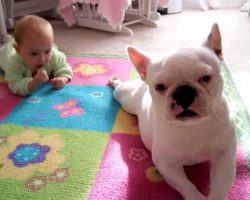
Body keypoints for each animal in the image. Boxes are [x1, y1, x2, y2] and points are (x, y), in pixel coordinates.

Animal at [110, 23, 237, 200]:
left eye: (206, 78)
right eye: (160, 87)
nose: (184, 92)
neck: (193, 126)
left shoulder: (225, 157)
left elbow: (220, 186)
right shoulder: (167, 165)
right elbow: (187, 186)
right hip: (125, 97)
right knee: (119, 89)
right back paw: (115, 82)